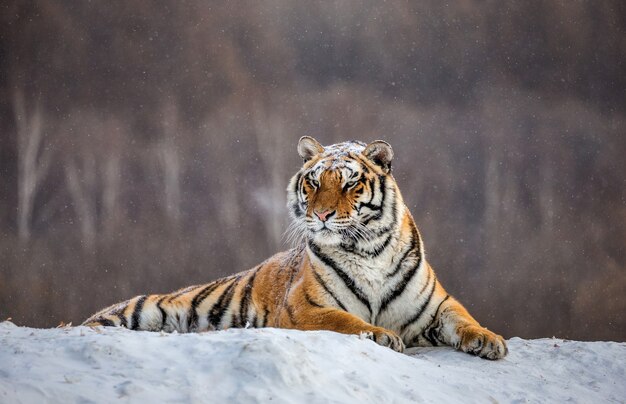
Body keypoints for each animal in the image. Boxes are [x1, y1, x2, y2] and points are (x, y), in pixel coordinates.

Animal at [85, 137, 508, 360]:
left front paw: (490, 341)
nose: (321, 215)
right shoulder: (304, 308)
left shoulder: (437, 305)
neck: (368, 250)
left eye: (351, 183)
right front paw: (383, 336)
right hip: (138, 310)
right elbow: (346, 321)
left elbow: (464, 319)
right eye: (314, 182)